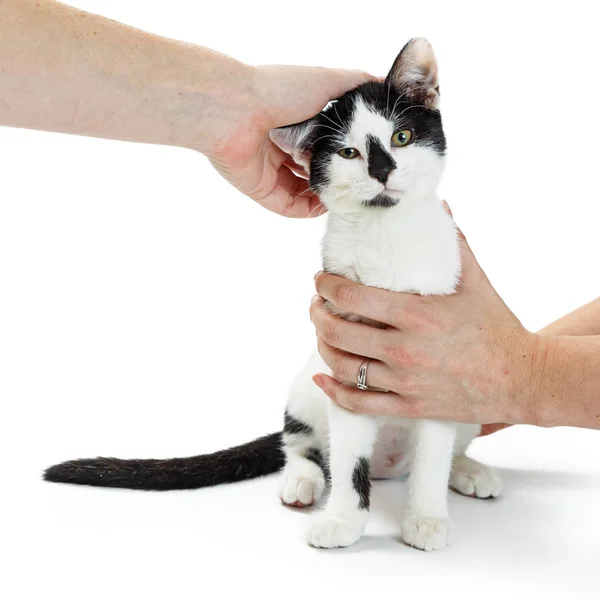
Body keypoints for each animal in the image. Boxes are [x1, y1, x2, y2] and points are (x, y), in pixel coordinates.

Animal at [43, 38, 502, 552]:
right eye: (348, 152)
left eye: (401, 137)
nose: (383, 170)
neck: (388, 236)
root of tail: (389, 468)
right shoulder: (344, 364)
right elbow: (349, 460)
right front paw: (343, 520)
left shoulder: (440, 364)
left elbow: (431, 456)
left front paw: (426, 519)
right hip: (307, 387)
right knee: (303, 447)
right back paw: (303, 481)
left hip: (468, 406)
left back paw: (467, 470)